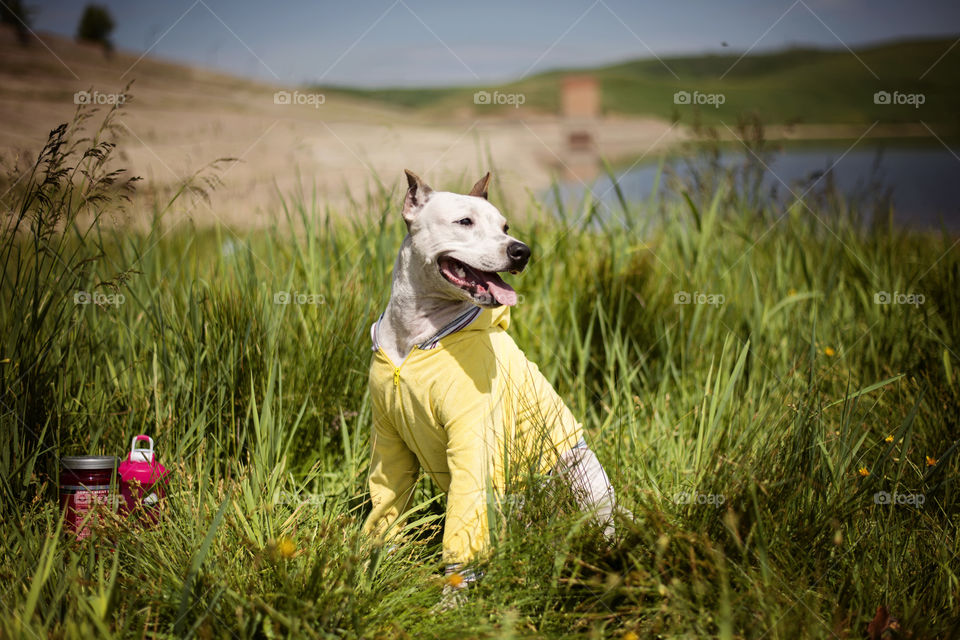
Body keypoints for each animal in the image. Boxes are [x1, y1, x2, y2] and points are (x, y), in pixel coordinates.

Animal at [360, 169, 616, 584]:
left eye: (505, 226)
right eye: (464, 222)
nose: (522, 251)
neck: (415, 340)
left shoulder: (471, 439)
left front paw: (454, 593)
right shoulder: (389, 442)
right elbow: (387, 505)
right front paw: (371, 565)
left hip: (578, 471)